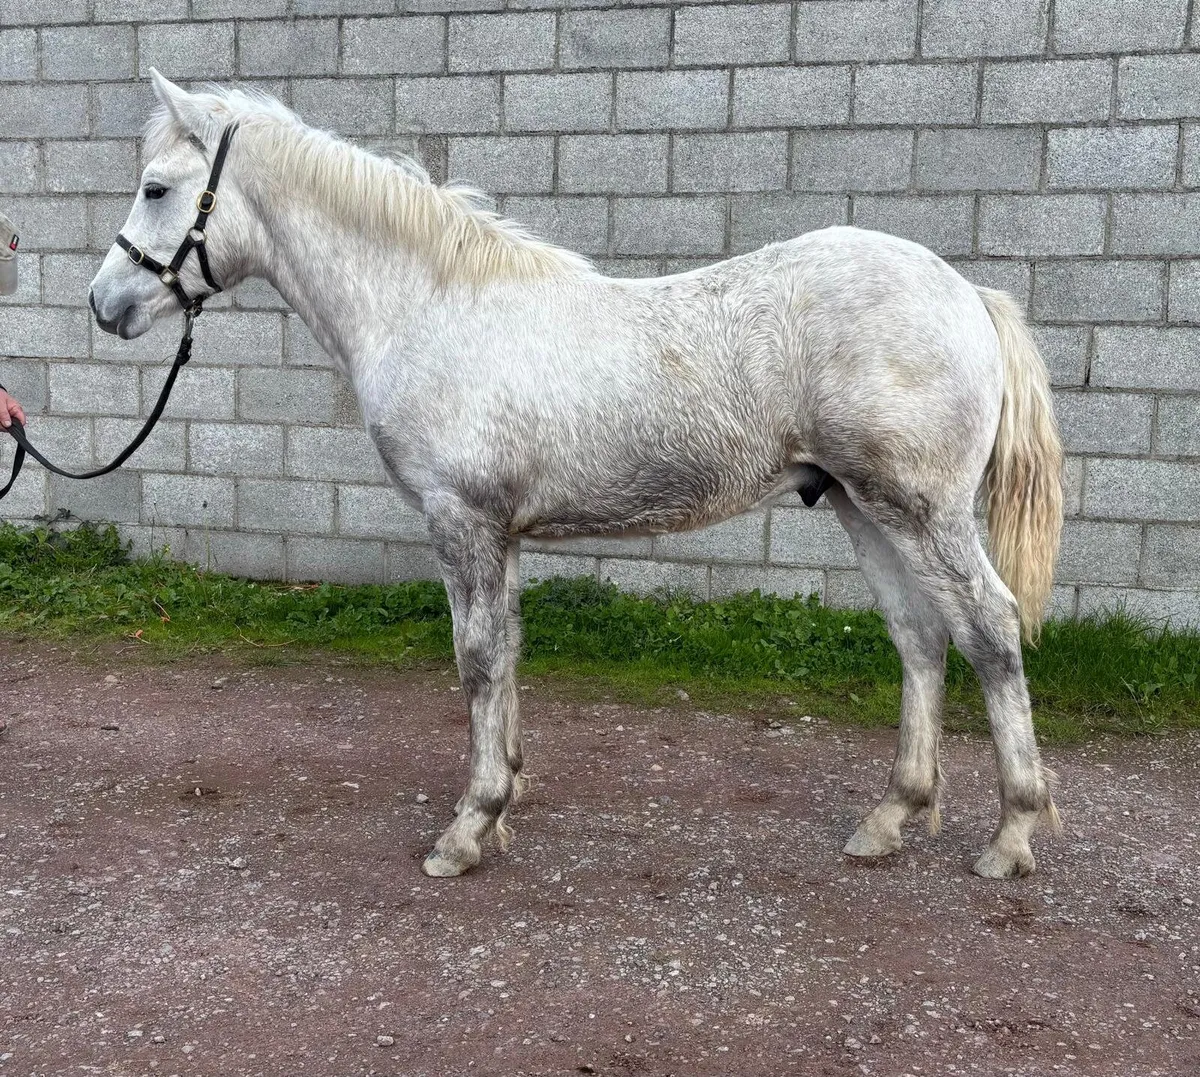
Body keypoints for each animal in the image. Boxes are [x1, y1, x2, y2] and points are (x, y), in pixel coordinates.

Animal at [89, 72, 1064, 881]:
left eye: (156, 188)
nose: (104, 303)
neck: (433, 307)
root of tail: (968, 295)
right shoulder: (503, 532)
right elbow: (508, 654)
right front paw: (507, 796)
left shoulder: (463, 521)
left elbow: (478, 659)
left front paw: (467, 828)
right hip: (863, 507)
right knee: (920, 638)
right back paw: (890, 817)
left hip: (923, 510)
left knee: (989, 629)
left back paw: (1012, 832)